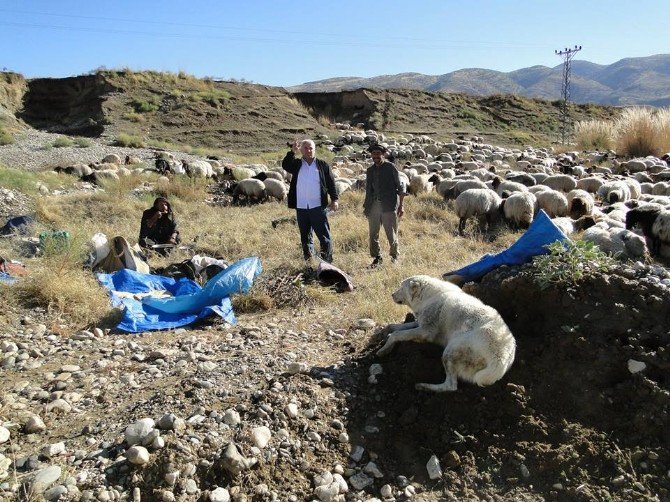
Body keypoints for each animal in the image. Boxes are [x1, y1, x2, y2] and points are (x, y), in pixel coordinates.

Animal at [380, 274, 516, 392]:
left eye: (401, 287)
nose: (392, 294)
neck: (427, 297)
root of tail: (500, 358)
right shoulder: (420, 323)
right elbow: (397, 327)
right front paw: (384, 331)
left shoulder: (425, 331)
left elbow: (397, 334)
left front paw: (384, 348)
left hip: (449, 352)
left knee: (451, 386)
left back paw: (424, 386)